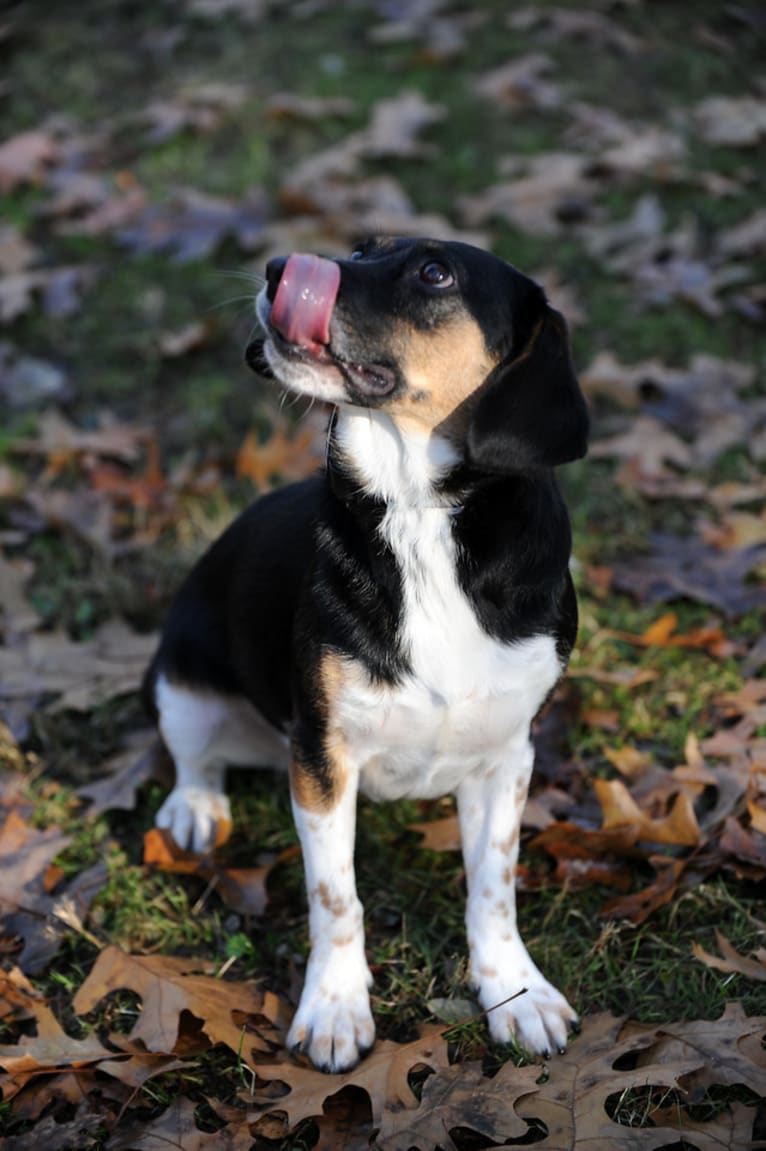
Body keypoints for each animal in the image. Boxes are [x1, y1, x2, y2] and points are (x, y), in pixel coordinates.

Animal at [141, 238, 584, 1072]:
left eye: (435, 272)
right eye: (358, 248)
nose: (278, 268)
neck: (417, 511)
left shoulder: (507, 755)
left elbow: (494, 886)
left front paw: (517, 993)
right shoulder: (321, 760)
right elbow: (336, 897)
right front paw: (336, 1009)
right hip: (182, 678)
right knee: (193, 756)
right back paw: (195, 809)